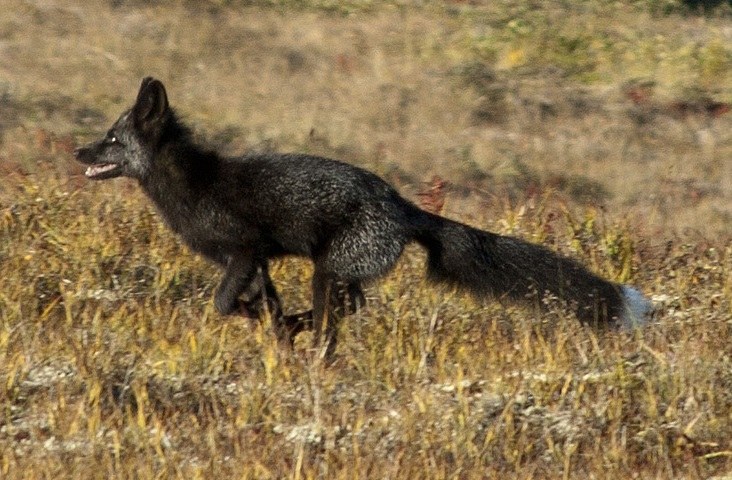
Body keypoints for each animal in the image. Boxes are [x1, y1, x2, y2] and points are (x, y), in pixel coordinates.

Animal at [74, 77, 653, 359]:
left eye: (112, 139)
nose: (78, 151)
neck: (192, 187)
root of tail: (404, 206)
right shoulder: (255, 262)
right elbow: (257, 303)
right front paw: (274, 329)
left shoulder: (244, 250)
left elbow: (221, 304)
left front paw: (265, 323)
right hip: (337, 270)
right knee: (354, 305)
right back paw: (302, 331)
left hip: (327, 268)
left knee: (341, 310)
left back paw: (313, 342)